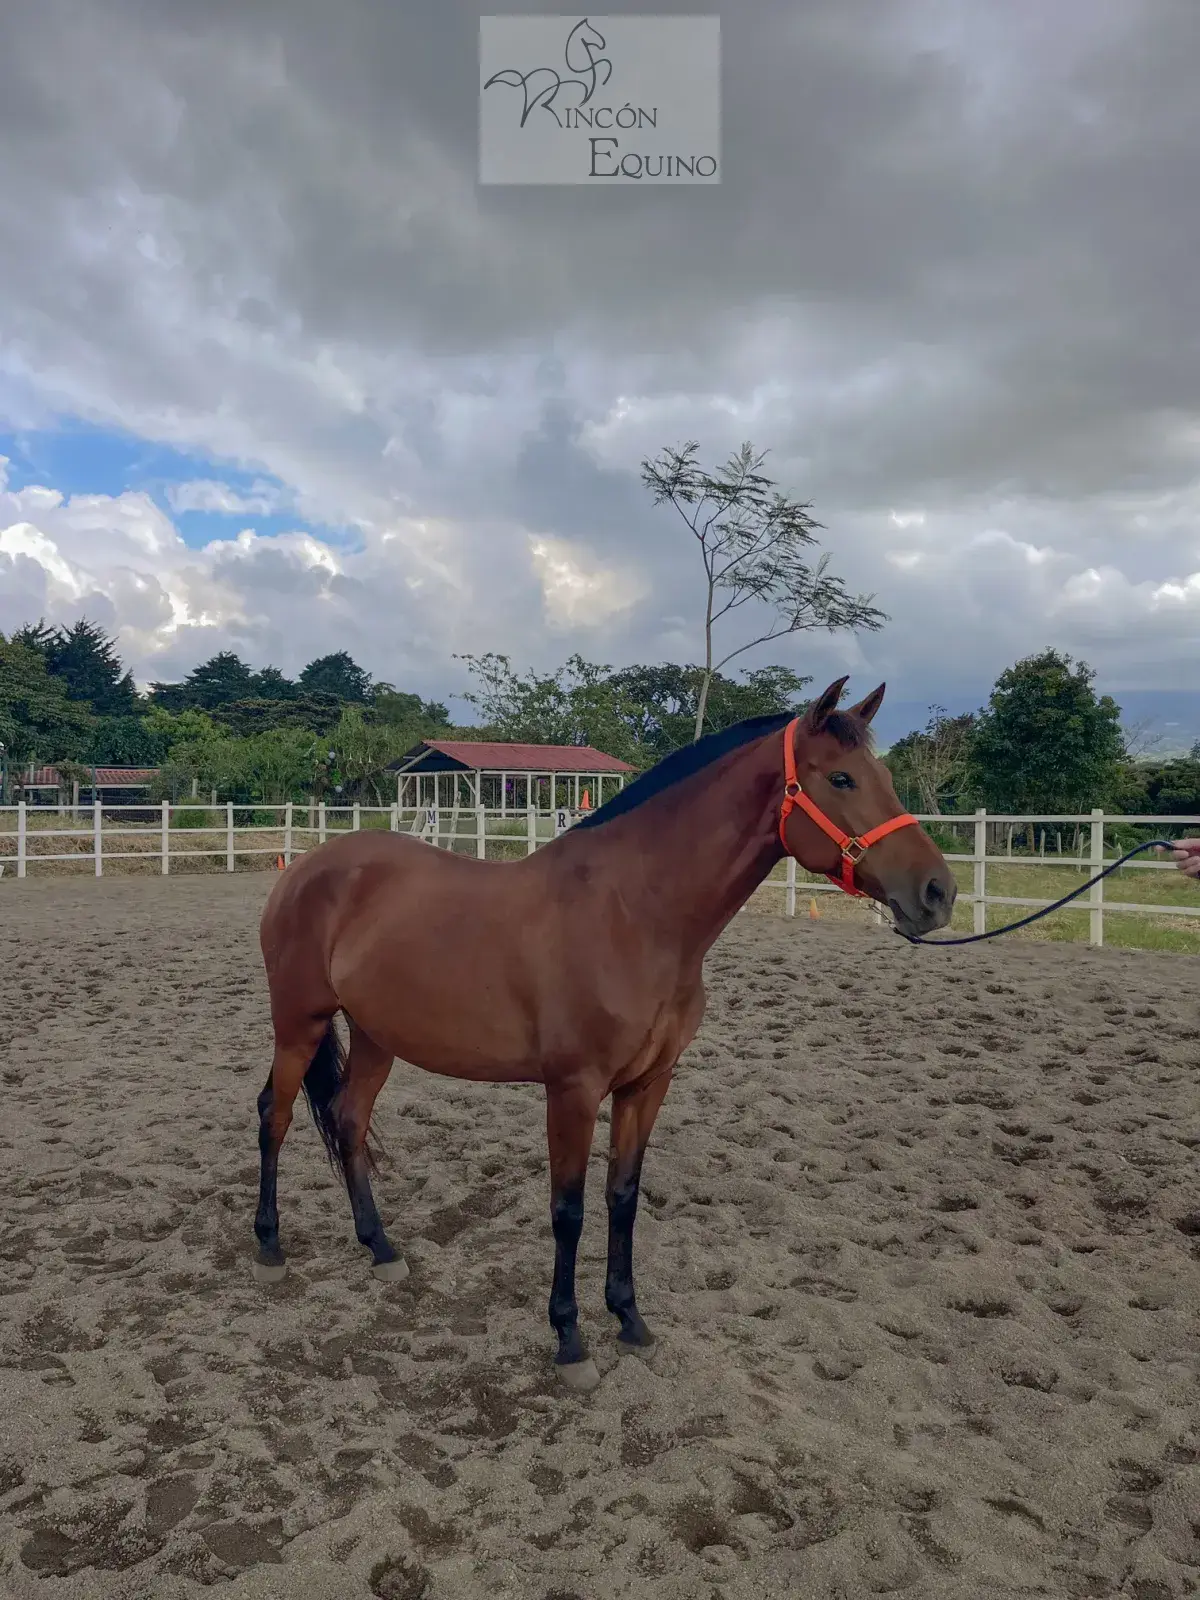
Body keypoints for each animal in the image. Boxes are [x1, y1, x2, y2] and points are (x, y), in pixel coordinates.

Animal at [253, 676, 956, 1390]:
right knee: (274, 1116)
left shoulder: (646, 1084)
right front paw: (570, 1341)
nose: (938, 892)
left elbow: (623, 1196)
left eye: (884, 775)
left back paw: (381, 1248)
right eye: (841, 777)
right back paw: (270, 1246)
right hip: (299, 1023)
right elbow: (569, 1211)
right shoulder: (573, 1089)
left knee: (348, 1119)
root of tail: (309, 866)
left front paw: (629, 1318)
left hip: (376, 1035)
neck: (633, 915)